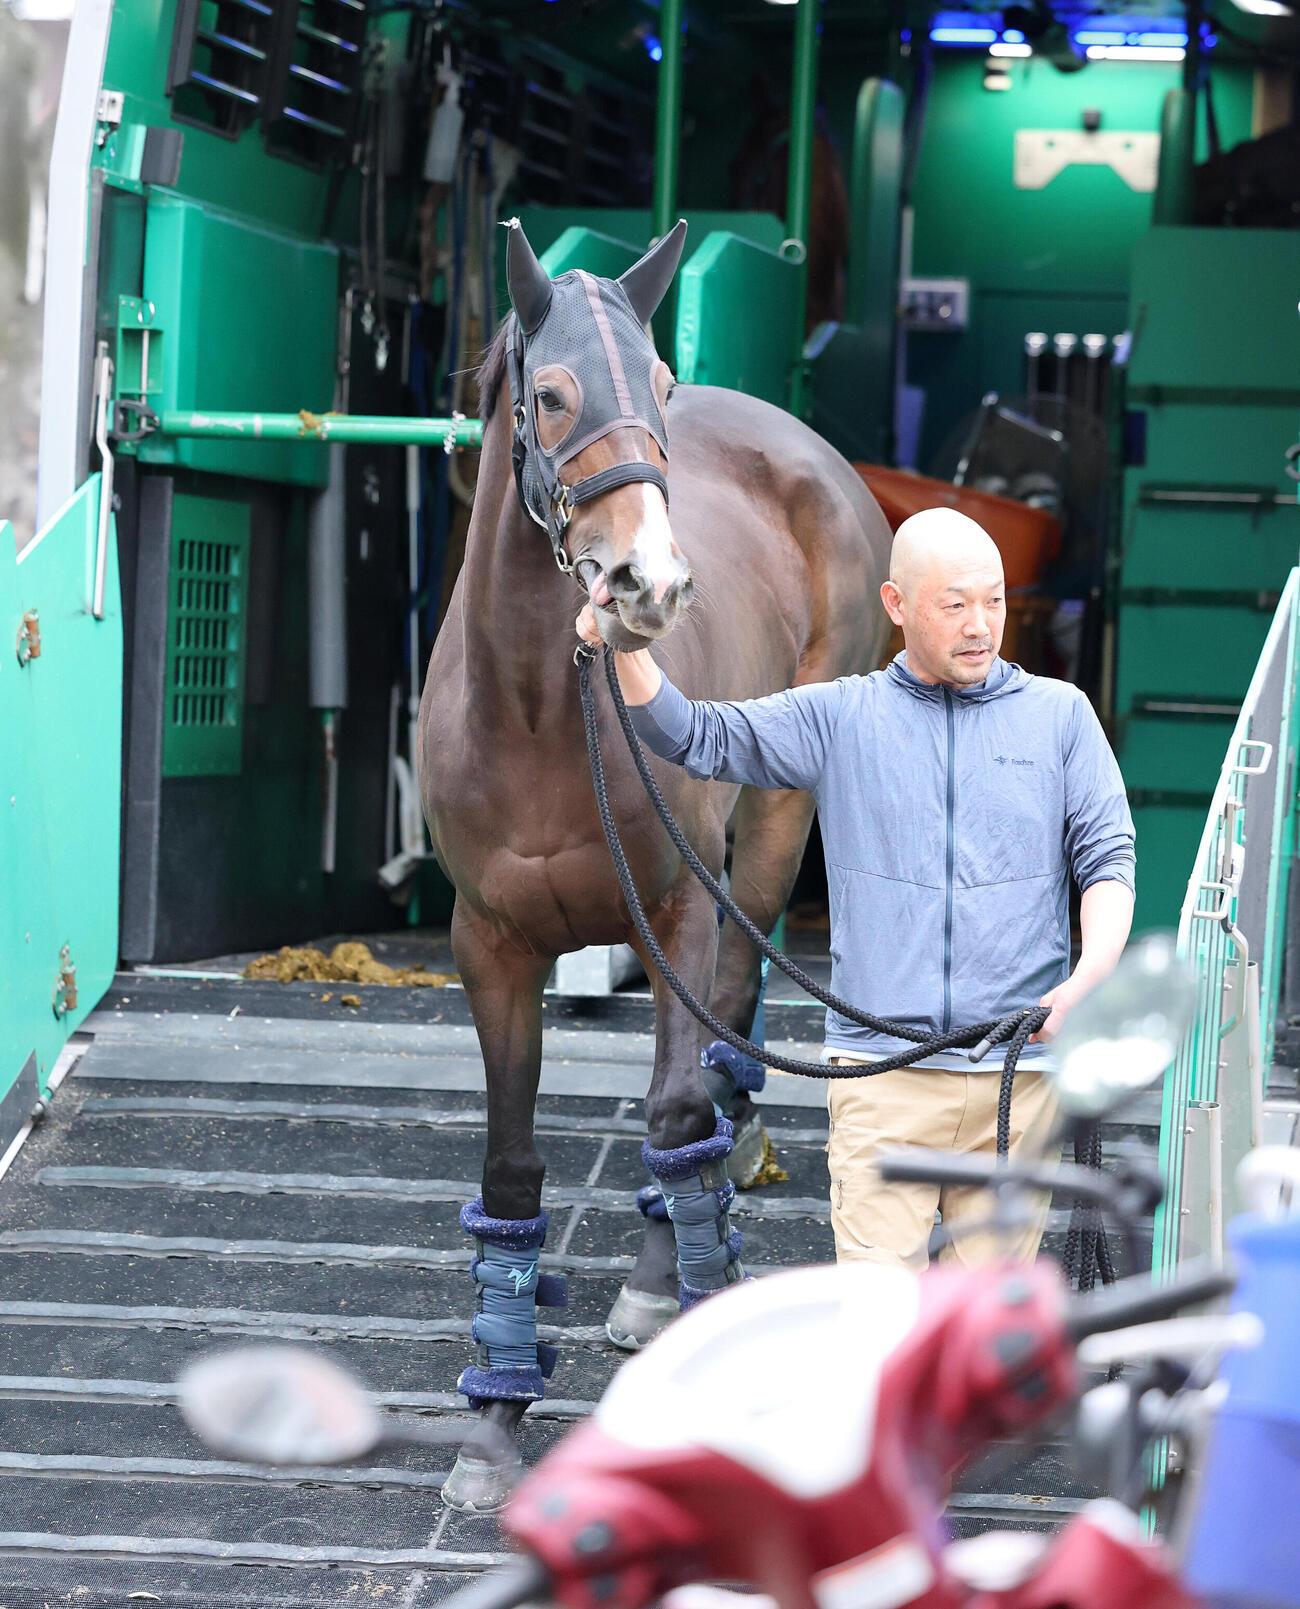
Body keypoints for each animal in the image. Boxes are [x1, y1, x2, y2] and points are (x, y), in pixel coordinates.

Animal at [418, 220, 893, 1510]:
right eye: (549, 393)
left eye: (662, 387)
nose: (651, 582)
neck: (540, 710)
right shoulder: (490, 944)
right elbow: (511, 1169)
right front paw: (493, 1424)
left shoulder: (677, 906)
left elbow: (679, 1109)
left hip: (769, 837)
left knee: (719, 1066)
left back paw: (657, 1280)